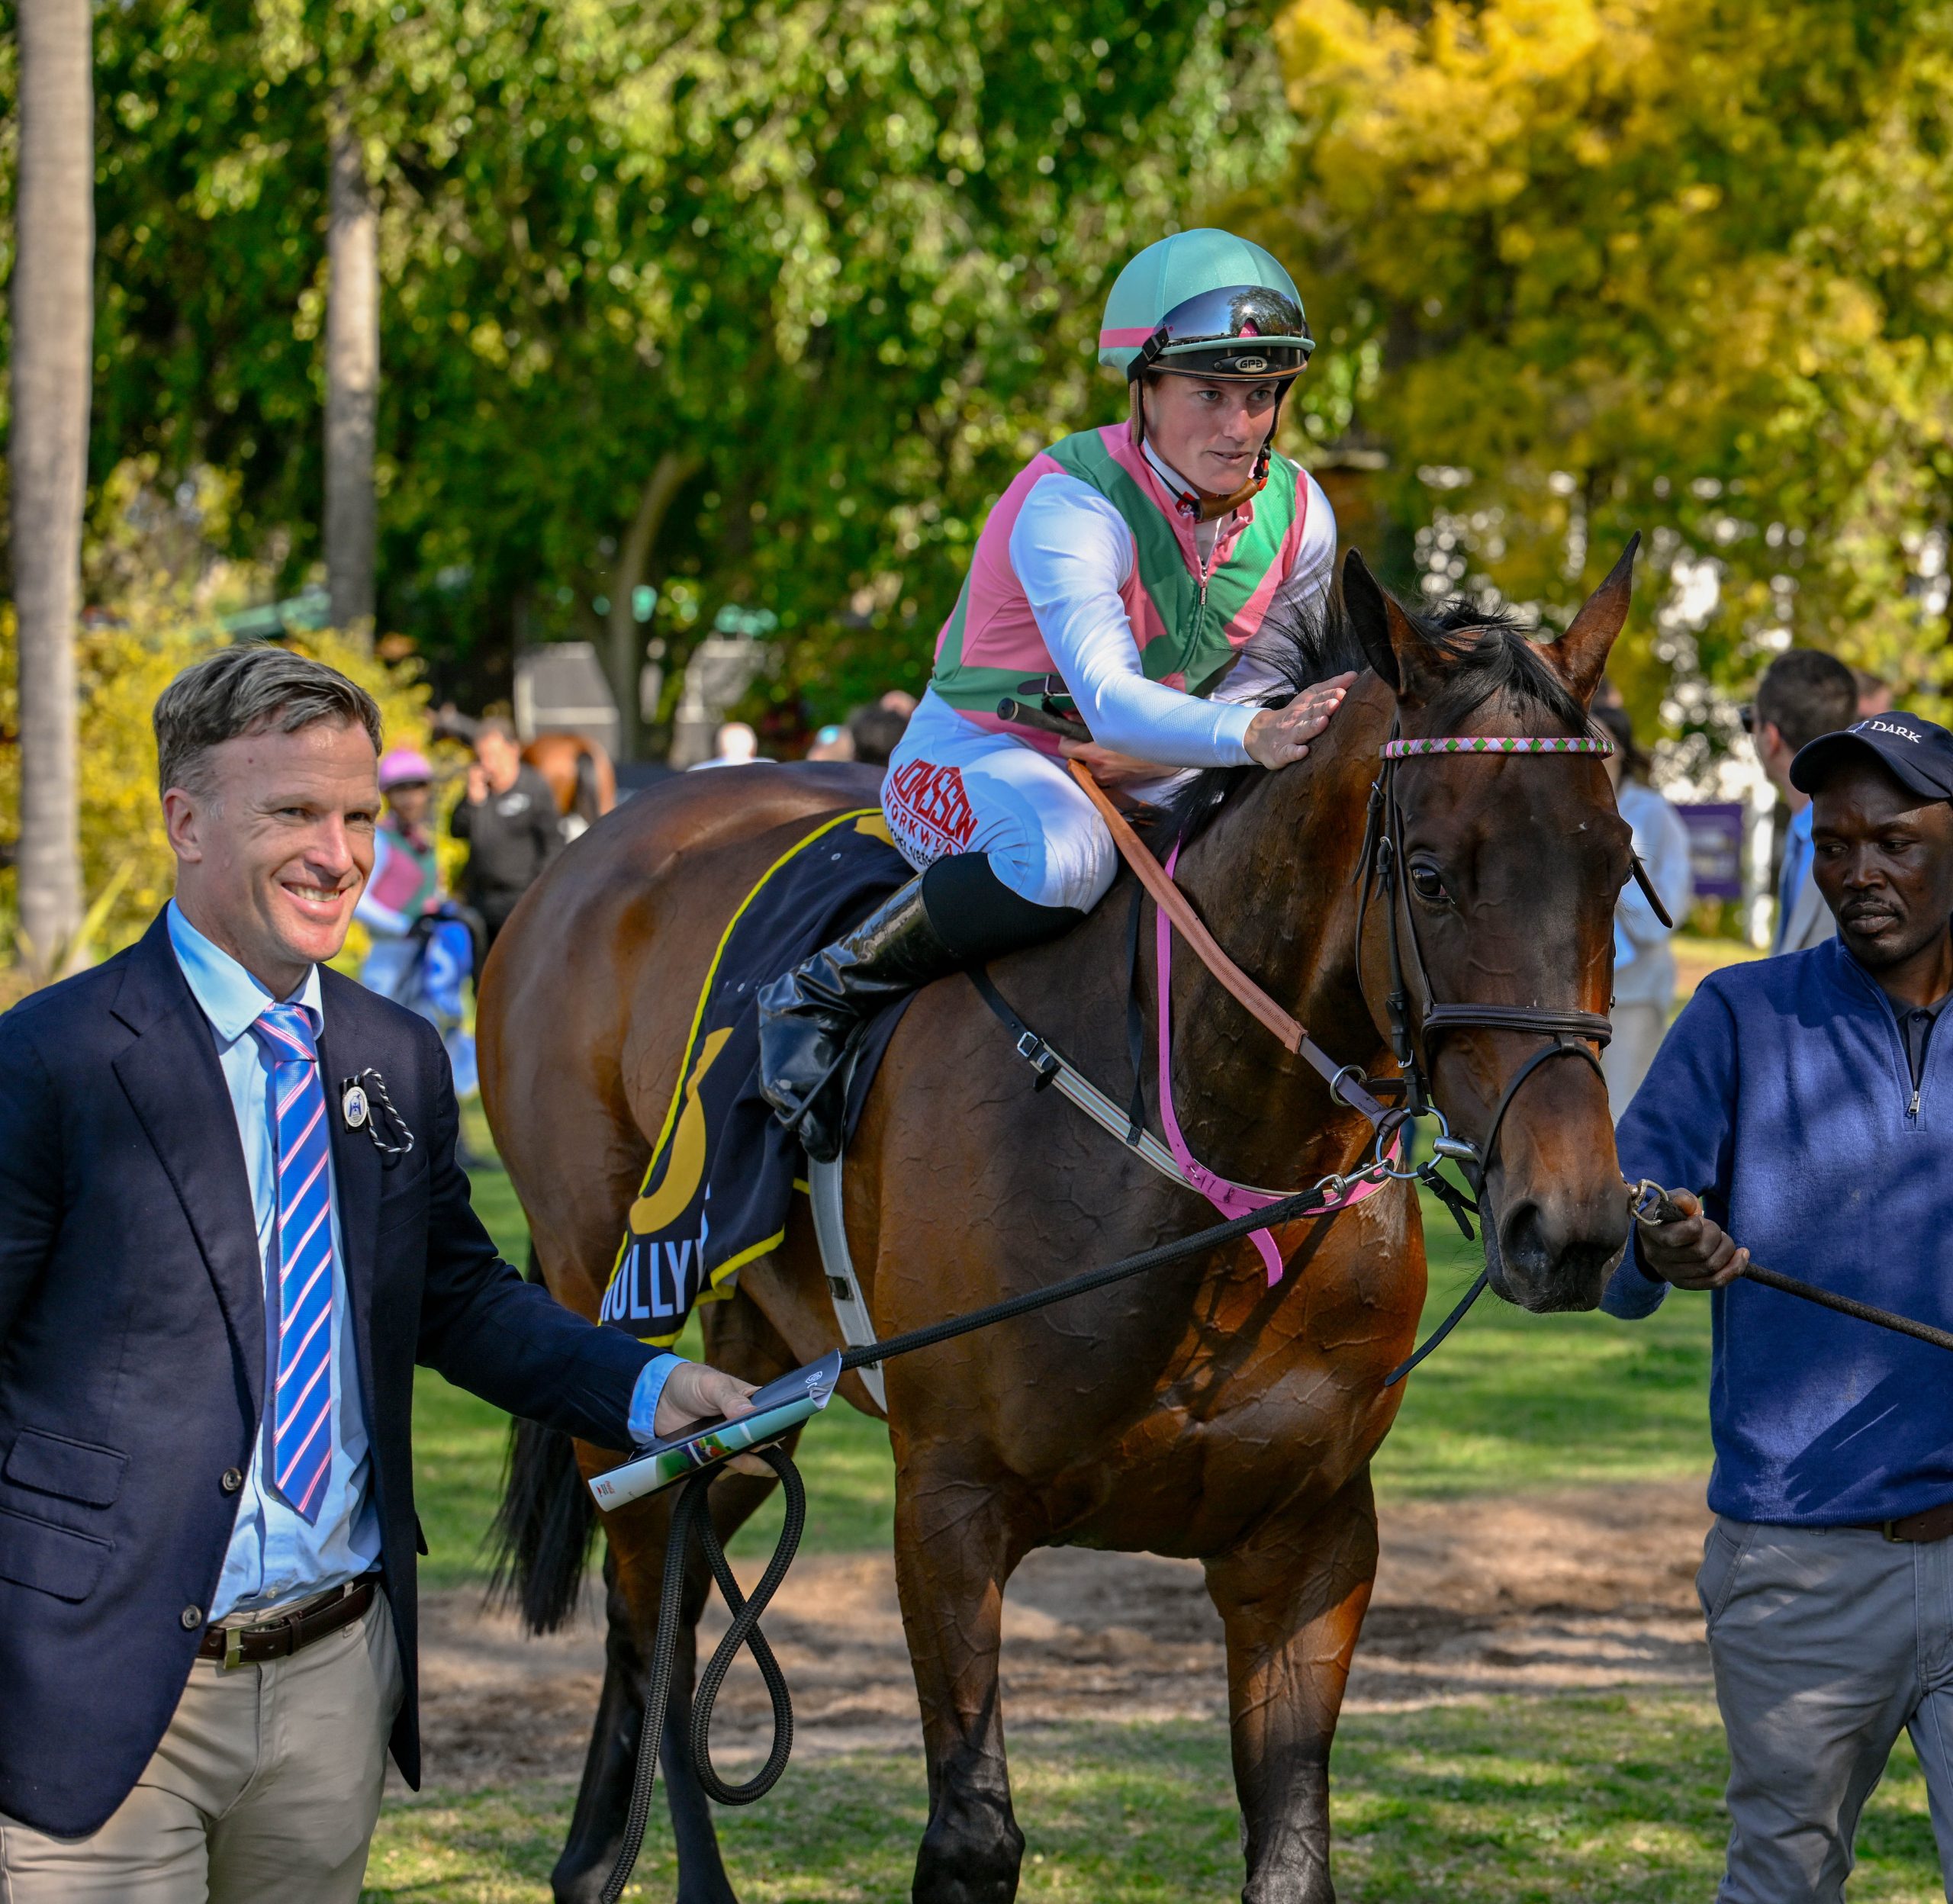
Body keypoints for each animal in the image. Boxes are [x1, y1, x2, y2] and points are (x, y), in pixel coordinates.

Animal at [480, 542, 1640, 1898]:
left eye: (1617, 865)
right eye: (1430, 875)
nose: (1569, 1222)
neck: (1209, 1171)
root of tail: (591, 847)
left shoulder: (1309, 1538)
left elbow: (1291, 1847)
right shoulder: (949, 1507)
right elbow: (973, 1833)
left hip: (755, 1374)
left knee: (680, 1562)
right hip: (608, 1311)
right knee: (641, 1571)